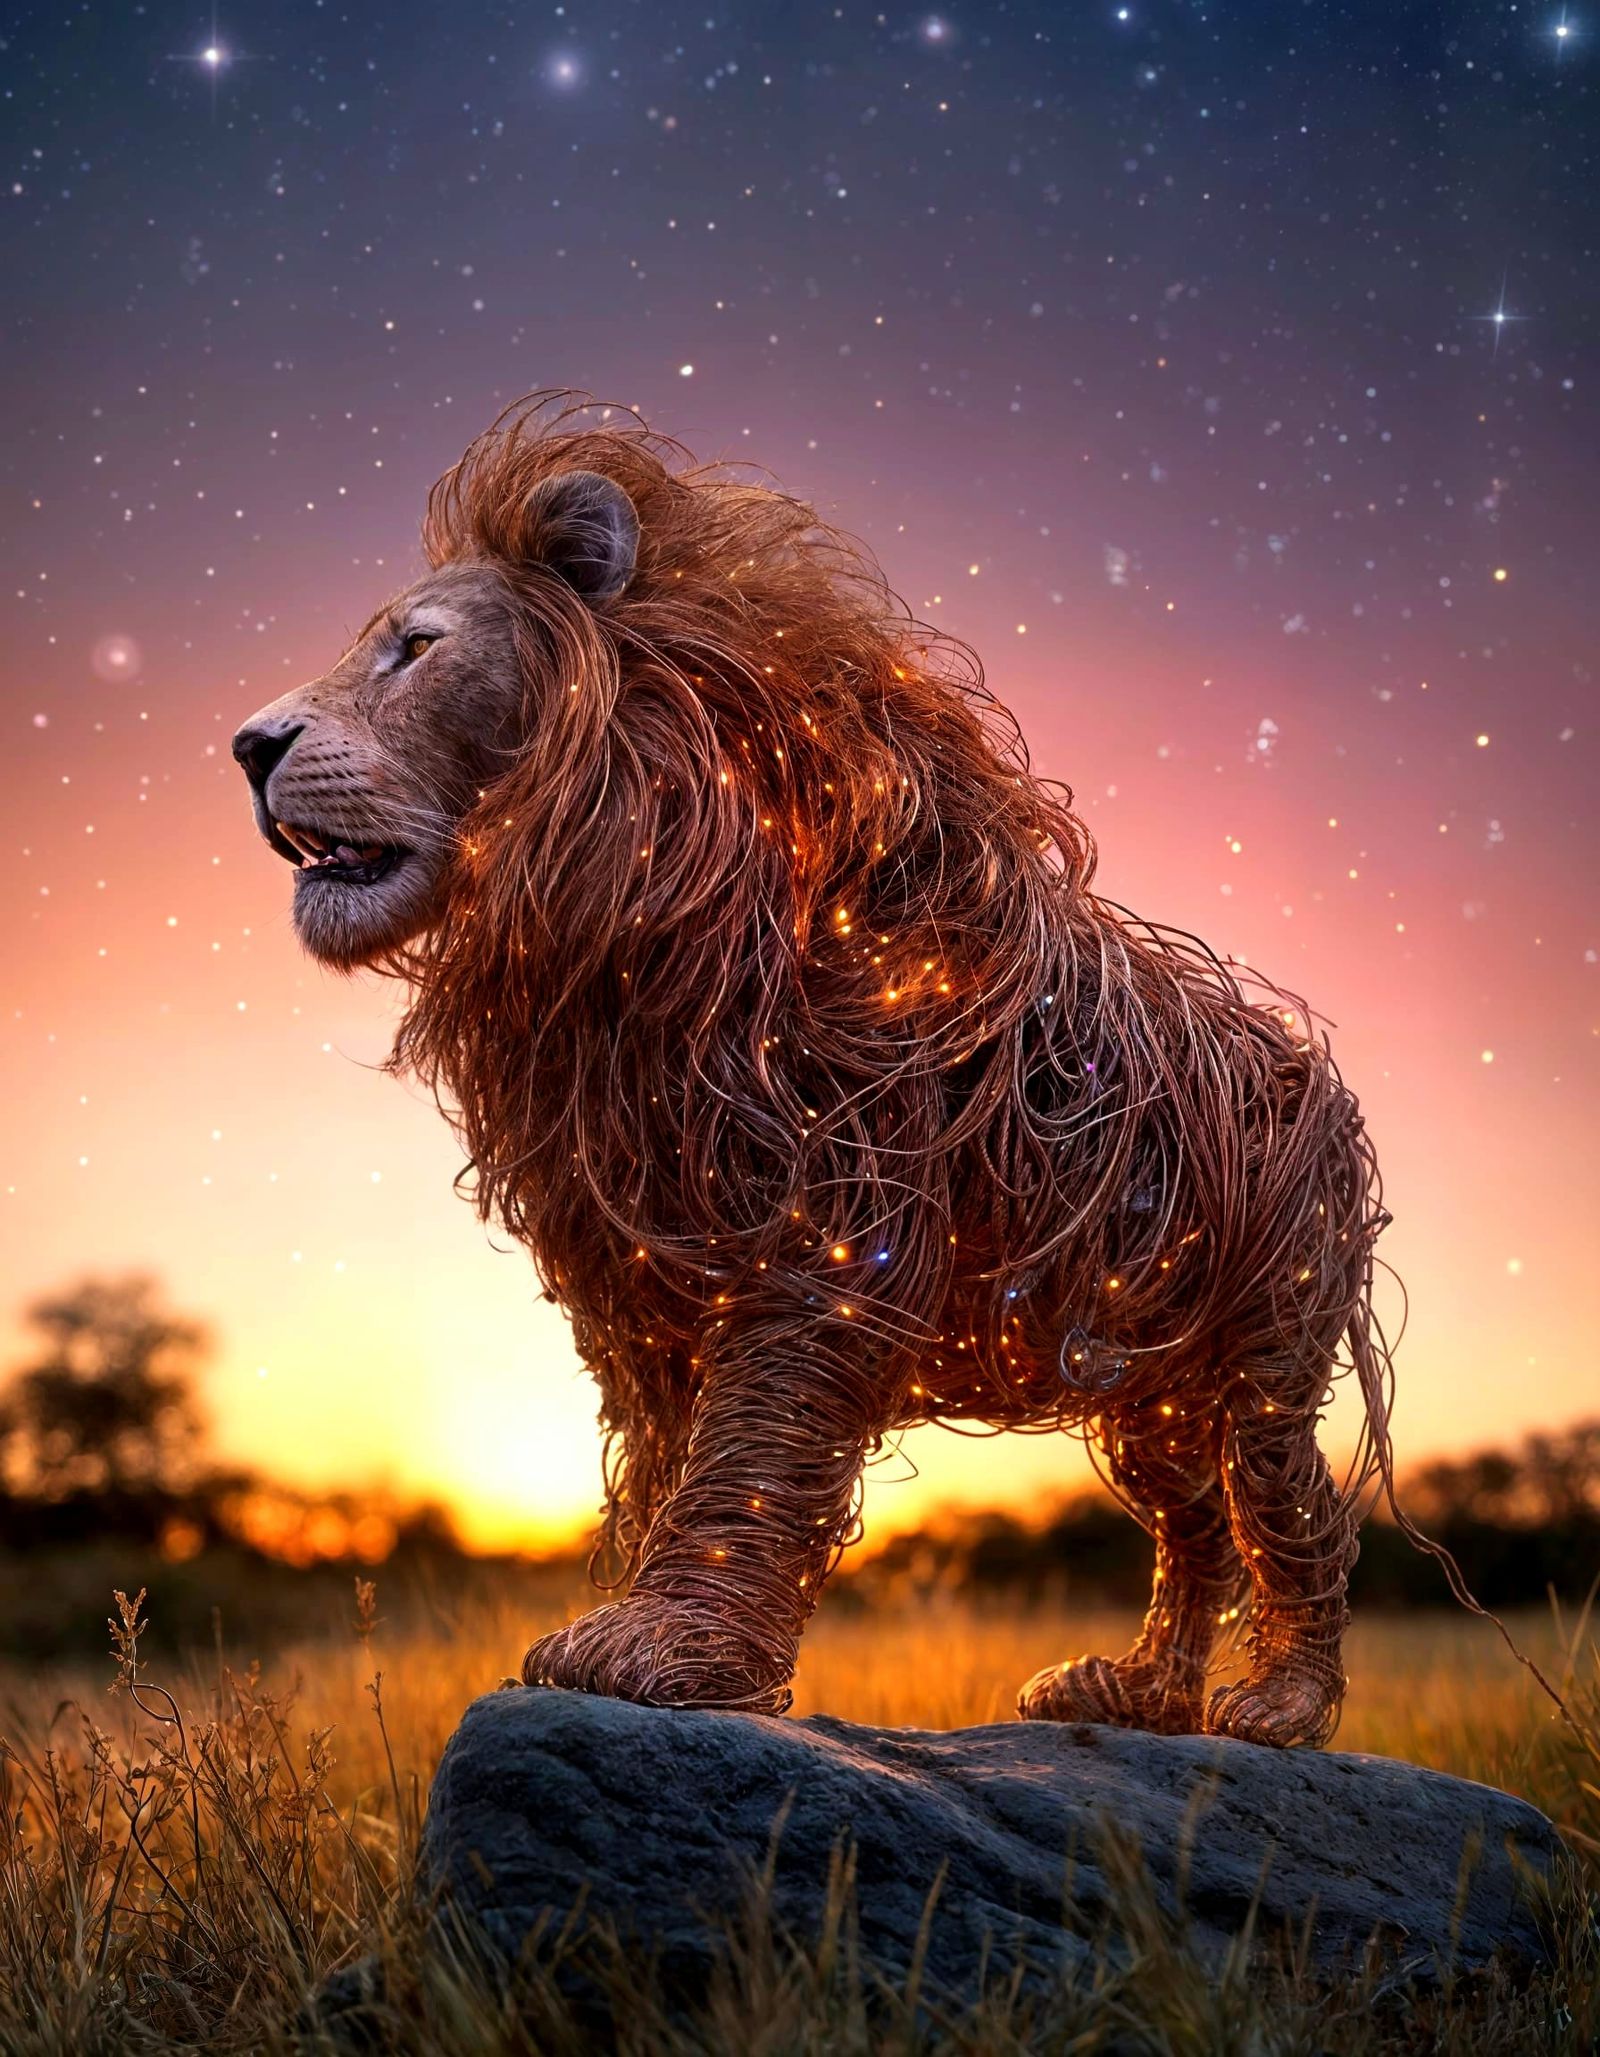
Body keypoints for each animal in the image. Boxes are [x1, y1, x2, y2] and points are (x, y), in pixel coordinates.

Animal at [233, 392, 1403, 1747]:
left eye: (414, 647)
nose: (247, 745)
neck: (629, 919)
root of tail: (1320, 1074)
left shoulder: (830, 1234)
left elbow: (752, 1446)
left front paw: (665, 1645)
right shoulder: (641, 1274)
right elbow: (670, 1452)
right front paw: (632, 1622)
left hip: (1264, 1346)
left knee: (1291, 1503)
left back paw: (1281, 1701)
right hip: (1145, 1370)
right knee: (1193, 1520)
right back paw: (1136, 1690)